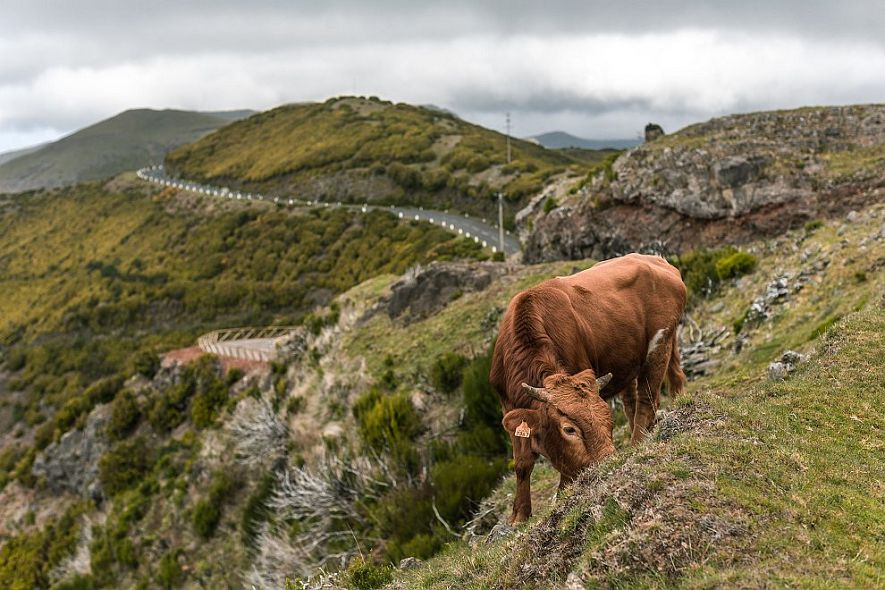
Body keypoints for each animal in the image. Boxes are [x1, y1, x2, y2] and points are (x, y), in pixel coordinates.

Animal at [490, 253, 684, 524]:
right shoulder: (508, 404)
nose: (608, 465)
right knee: (652, 392)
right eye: (569, 429)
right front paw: (519, 516)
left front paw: (563, 495)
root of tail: (657, 260)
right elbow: (523, 463)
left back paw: (636, 446)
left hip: (660, 343)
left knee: (647, 400)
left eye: (608, 421)